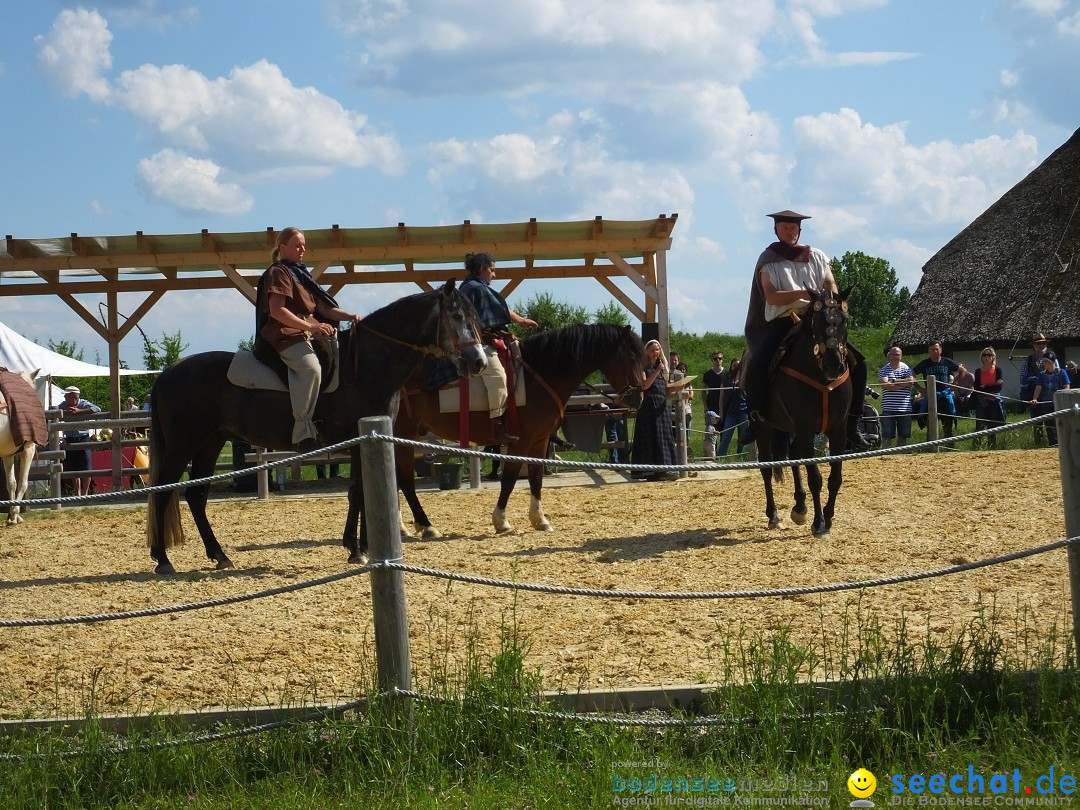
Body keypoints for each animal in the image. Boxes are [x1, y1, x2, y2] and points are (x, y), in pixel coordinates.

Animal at [0, 367, 43, 527]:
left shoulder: (7, 454)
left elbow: (11, 483)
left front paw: (12, 514)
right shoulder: (28, 450)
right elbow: (23, 483)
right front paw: (14, 514)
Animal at [144, 282, 486, 574]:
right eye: (457, 316)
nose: (478, 361)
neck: (367, 366)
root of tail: (169, 372)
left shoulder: (366, 440)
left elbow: (360, 491)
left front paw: (360, 546)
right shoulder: (360, 440)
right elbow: (358, 493)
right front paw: (358, 549)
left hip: (210, 444)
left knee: (195, 496)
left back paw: (219, 555)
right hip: (182, 447)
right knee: (163, 492)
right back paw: (163, 560)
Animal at [393, 324, 643, 540]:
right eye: (632, 357)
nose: (638, 398)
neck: (542, 374)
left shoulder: (540, 441)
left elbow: (536, 477)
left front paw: (539, 519)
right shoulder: (520, 442)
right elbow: (510, 478)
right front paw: (501, 521)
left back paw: (403, 527)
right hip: (405, 434)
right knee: (404, 479)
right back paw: (426, 526)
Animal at [756, 287, 855, 540]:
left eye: (845, 320)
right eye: (816, 322)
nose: (834, 366)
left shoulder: (838, 430)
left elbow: (835, 478)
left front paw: (827, 518)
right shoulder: (805, 429)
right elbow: (815, 478)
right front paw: (819, 523)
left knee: (793, 457)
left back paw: (800, 507)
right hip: (763, 426)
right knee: (767, 468)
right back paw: (773, 516)